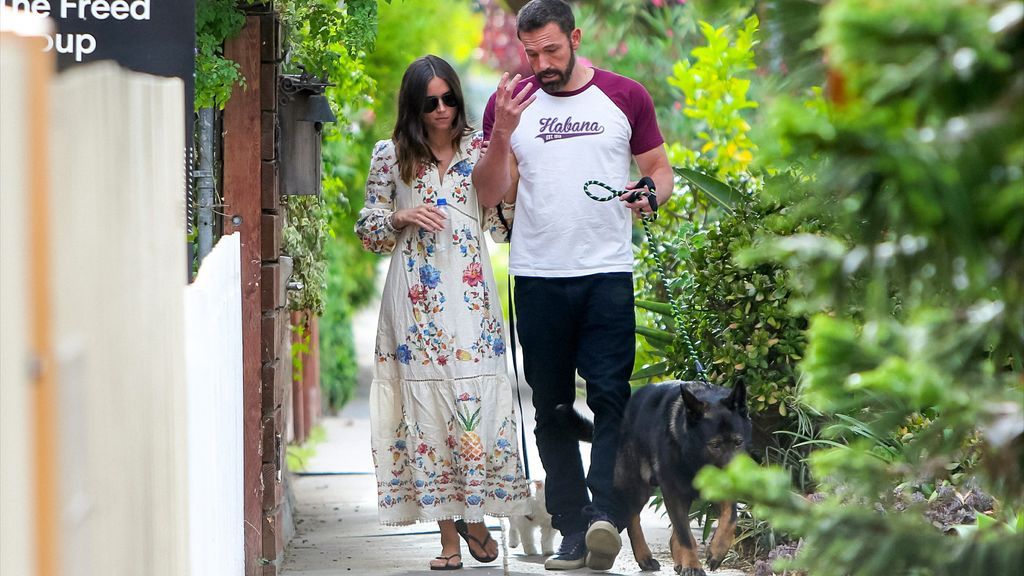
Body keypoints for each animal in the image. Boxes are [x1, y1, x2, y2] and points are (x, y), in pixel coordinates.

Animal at [561, 379, 753, 569]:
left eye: (738, 442)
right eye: (714, 445)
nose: (738, 480)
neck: (692, 456)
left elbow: (730, 518)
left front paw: (717, 551)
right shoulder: (673, 491)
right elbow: (685, 535)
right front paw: (692, 565)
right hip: (637, 487)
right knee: (633, 518)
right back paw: (644, 556)